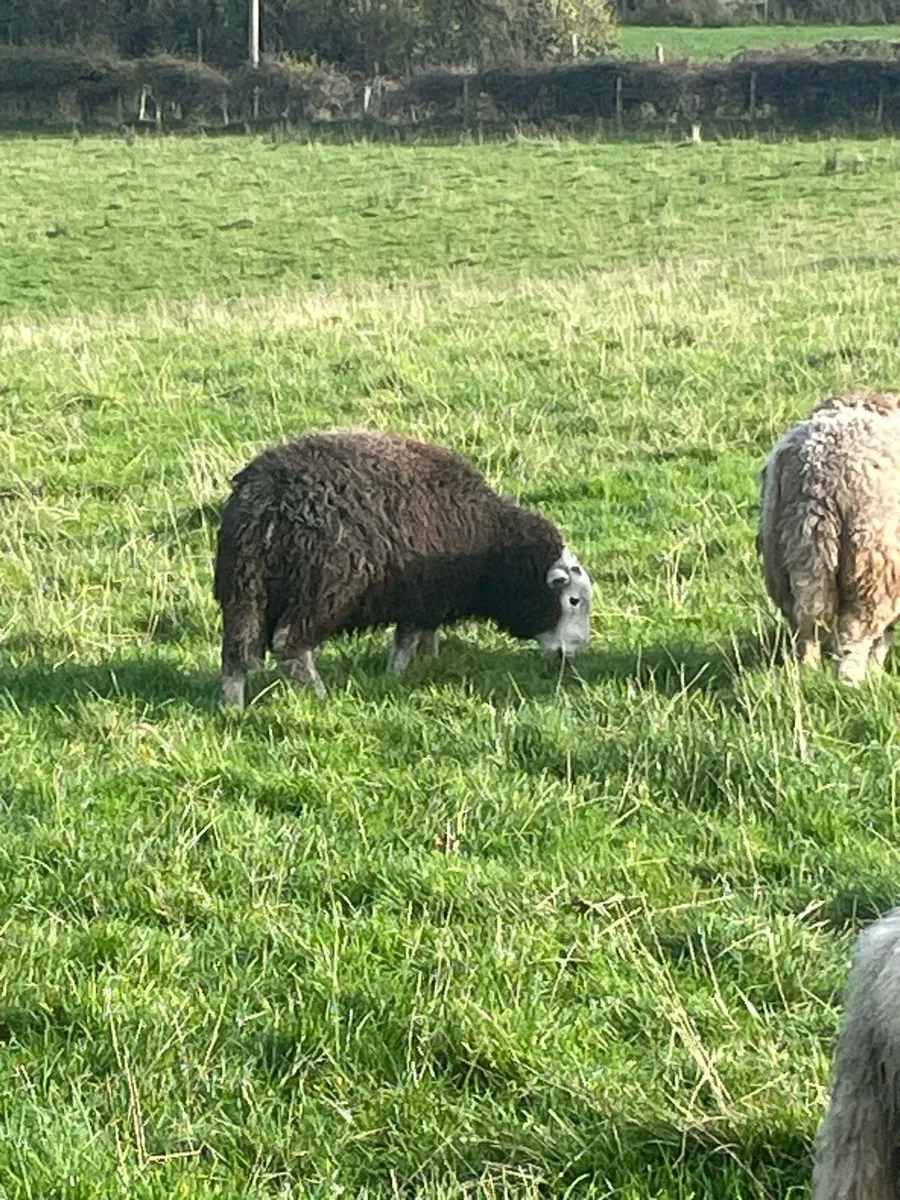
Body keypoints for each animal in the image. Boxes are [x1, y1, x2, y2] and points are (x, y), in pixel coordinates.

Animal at [213, 429, 592, 707]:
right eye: (573, 600)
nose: (572, 655)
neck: (490, 542)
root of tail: (266, 501)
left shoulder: (430, 597)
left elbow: (425, 636)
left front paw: (428, 661)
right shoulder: (418, 594)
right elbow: (406, 641)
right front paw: (395, 675)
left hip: (242, 590)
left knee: (236, 652)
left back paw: (232, 707)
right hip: (320, 591)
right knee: (288, 645)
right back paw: (320, 696)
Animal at [759, 392, 900, 684]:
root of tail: (817, 466)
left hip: (797, 551)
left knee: (808, 622)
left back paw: (808, 675)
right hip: (871, 562)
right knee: (856, 631)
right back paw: (851, 682)